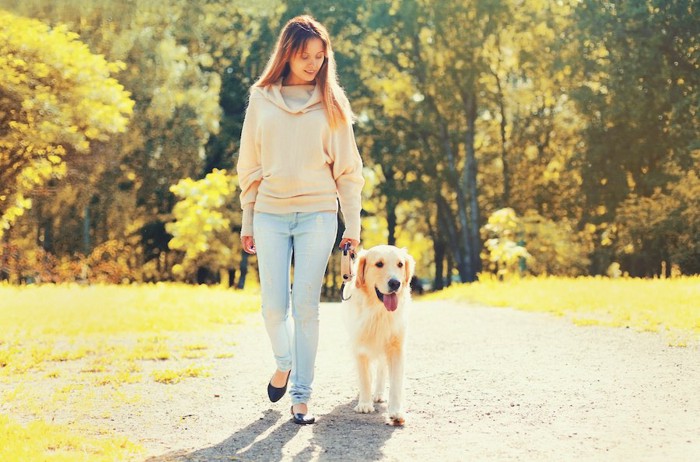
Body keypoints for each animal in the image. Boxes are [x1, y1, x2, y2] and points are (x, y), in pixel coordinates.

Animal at [344, 245, 416, 426]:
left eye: (400, 264)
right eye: (379, 264)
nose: (395, 283)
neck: (378, 311)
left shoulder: (396, 347)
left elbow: (396, 382)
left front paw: (396, 411)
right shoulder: (360, 347)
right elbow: (364, 378)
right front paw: (364, 404)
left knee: (382, 369)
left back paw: (378, 394)